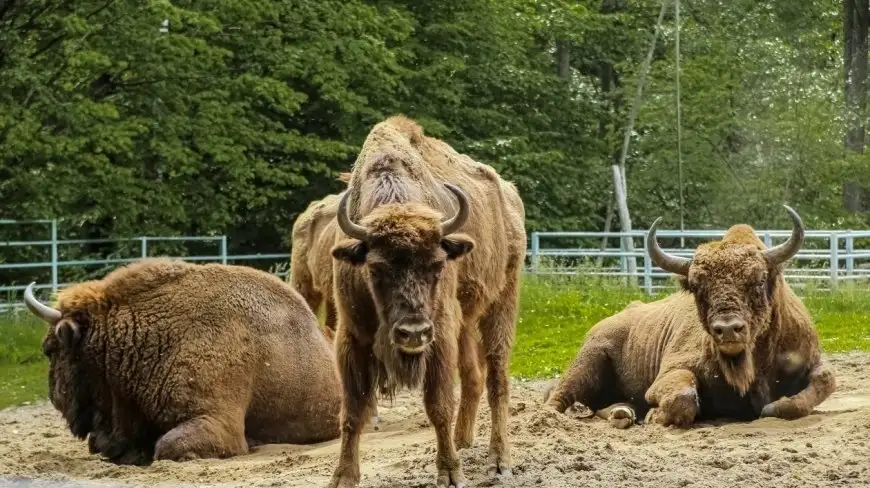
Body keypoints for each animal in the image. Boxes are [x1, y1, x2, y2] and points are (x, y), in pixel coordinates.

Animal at [330, 116, 528, 486]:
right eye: (375, 268)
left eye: (437, 264)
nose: (412, 333)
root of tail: (510, 197)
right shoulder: (351, 336)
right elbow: (352, 410)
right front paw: (343, 476)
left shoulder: (439, 334)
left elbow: (438, 404)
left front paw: (450, 473)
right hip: (466, 321)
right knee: (473, 377)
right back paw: (463, 441)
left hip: (502, 301)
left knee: (497, 378)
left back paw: (498, 462)